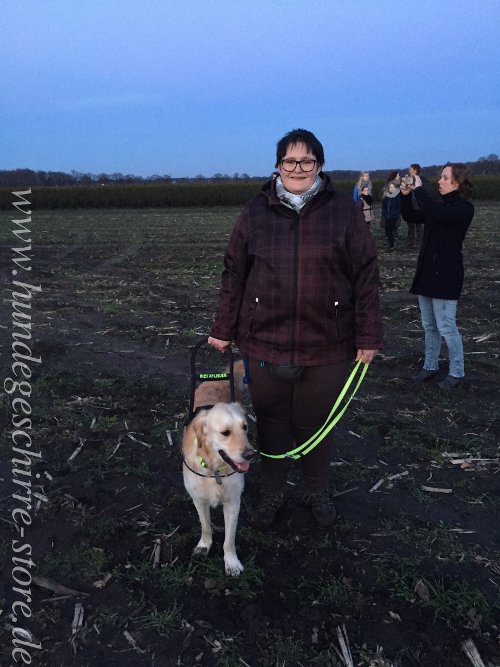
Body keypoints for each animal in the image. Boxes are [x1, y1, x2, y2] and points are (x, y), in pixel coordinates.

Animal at [183, 362, 254, 576]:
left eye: (245, 427)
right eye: (225, 432)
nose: (250, 454)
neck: (215, 471)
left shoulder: (233, 502)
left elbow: (229, 539)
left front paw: (231, 562)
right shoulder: (198, 499)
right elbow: (206, 526)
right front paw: (204, 546)